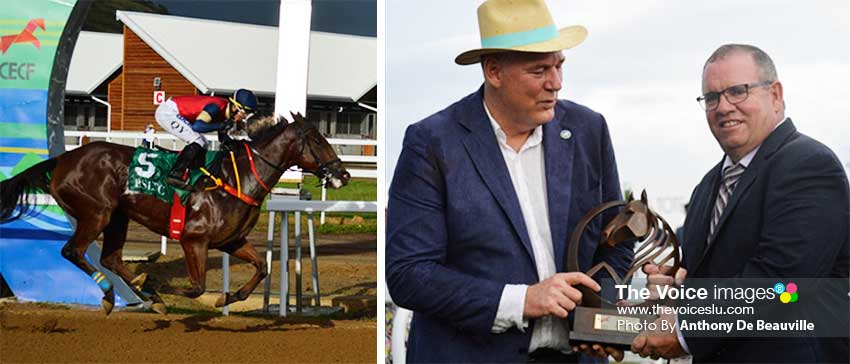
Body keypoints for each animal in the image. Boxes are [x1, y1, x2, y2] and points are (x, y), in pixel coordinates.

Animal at [0, 114, 350, 316]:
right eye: (317, 139)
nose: (343, 175)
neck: (236, 180)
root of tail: (62, 159)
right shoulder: (193, 240)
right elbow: (196, 287)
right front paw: (157, 286)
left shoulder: (231, 241)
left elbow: (262, 267)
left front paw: (228, 298)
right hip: (96, 213)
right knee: (73, 251)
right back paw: (116, 292)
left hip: (118, 217)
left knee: (110, 258)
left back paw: (136, 289)